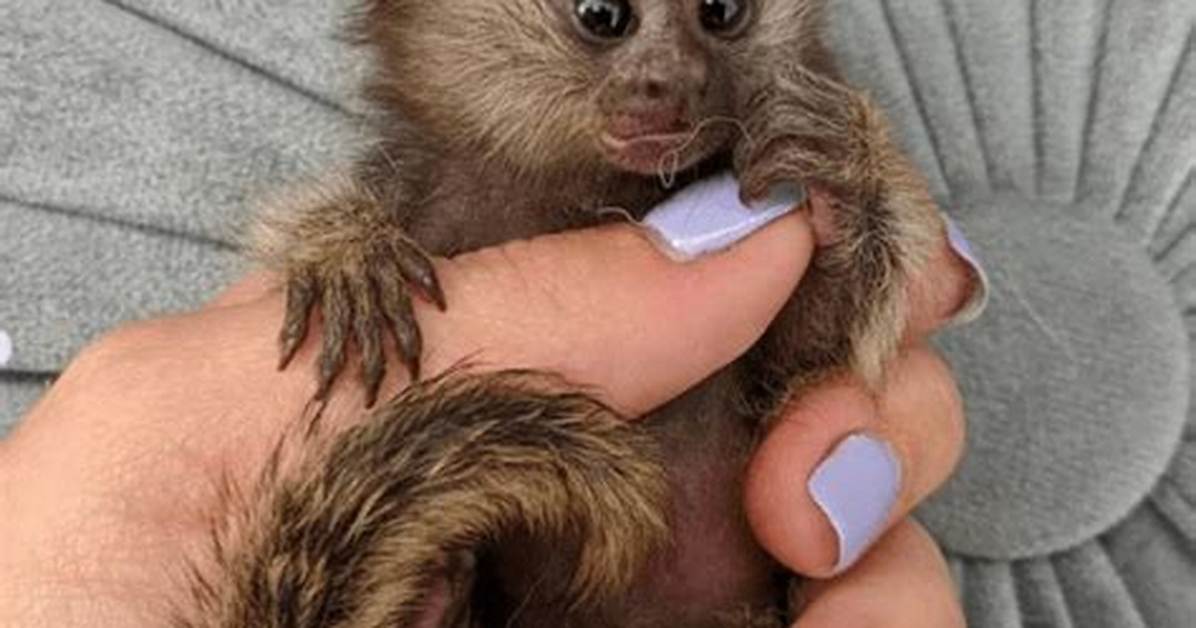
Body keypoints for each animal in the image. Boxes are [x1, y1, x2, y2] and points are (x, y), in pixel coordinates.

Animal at [175, 0, 942, 626]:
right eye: (603, 16)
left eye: (722, 12)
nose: (670, 82)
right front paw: (347, 252)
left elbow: (807, 361)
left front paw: (841, 180)